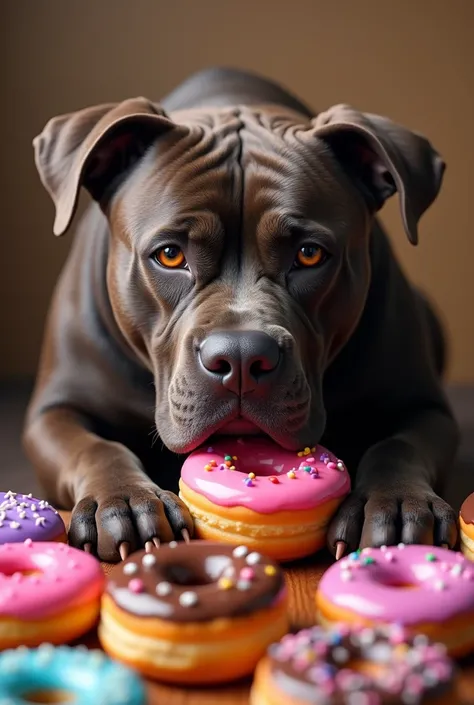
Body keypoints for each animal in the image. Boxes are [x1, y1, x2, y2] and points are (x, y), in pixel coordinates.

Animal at [23, 66, 460, 560]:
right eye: (170, 255)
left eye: (309, 254)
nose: (240, 357)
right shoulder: (54, 413)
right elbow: (95, 448)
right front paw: (124, 499)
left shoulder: (424, 408)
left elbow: (398, 446)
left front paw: (398, 502)